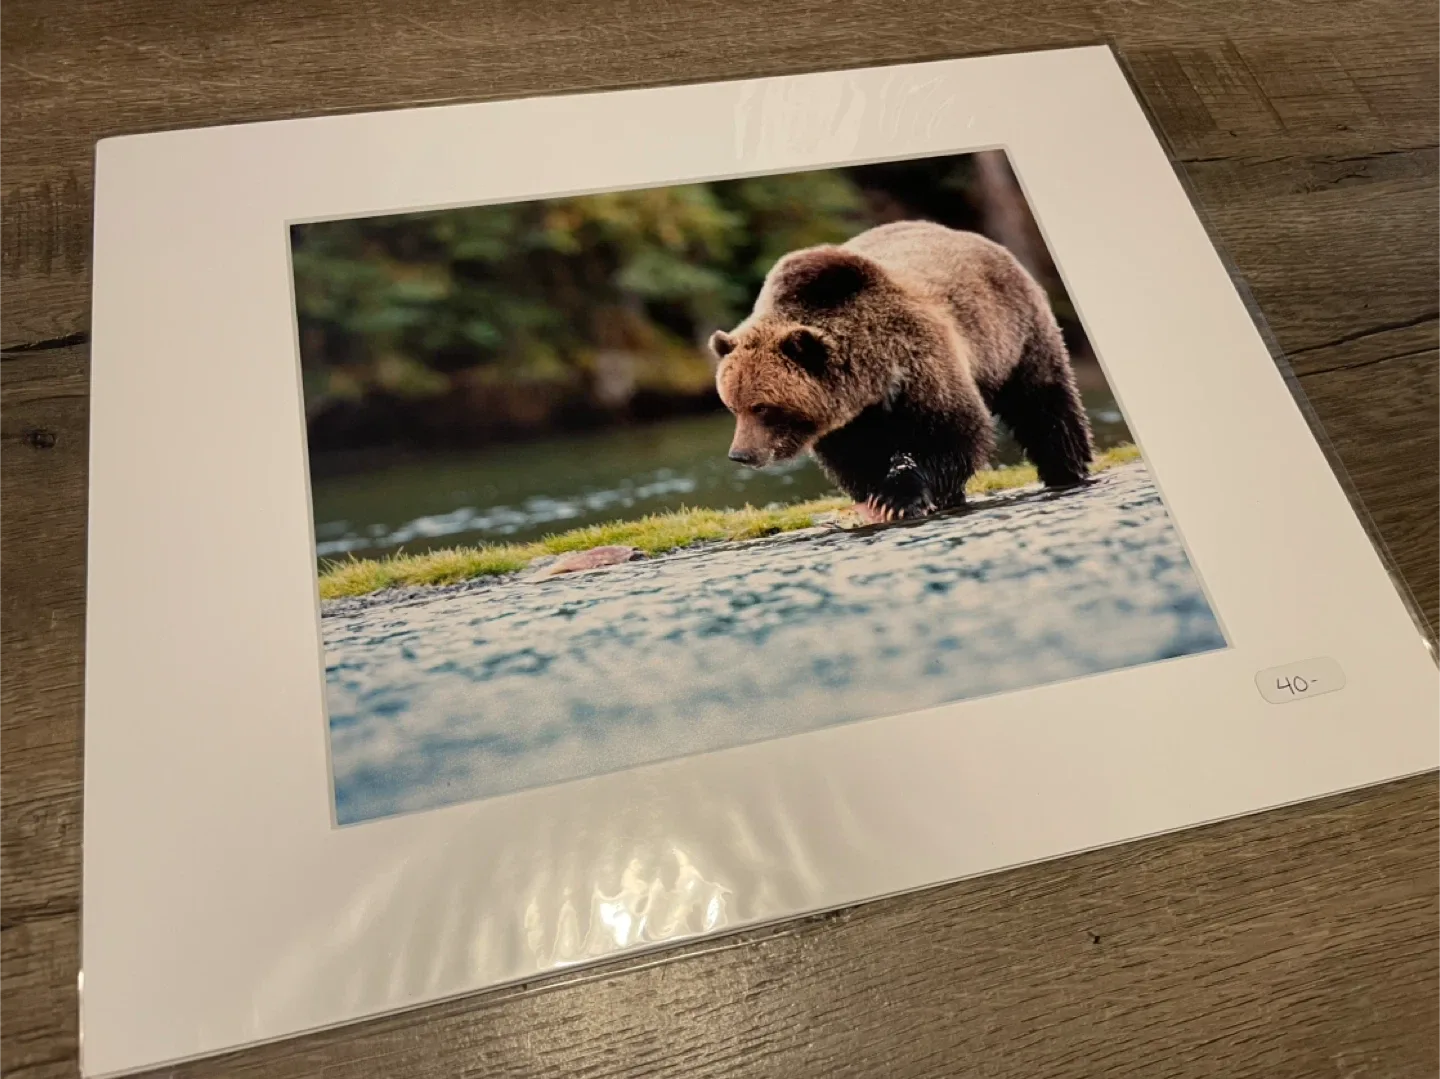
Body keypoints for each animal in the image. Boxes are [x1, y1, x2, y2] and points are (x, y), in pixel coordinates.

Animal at [709, 220, 1094, 521]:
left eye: (762, 407)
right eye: (732, 406)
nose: (741, 454)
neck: (871, 382)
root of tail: (974, 236)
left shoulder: (920, 364)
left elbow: (950, 433)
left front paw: (896, 498)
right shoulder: (848, 422)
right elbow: (859, 459)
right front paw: (878, 496)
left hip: (1015, 334)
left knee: (1044, 405)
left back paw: (1067, 470)